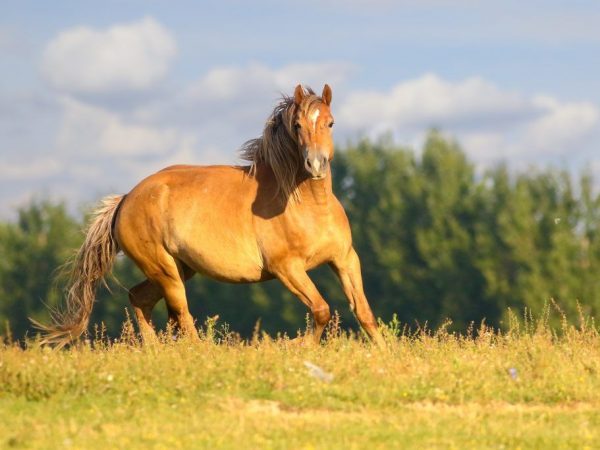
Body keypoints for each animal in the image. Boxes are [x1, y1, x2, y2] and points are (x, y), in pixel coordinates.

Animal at [37, 84, 384, 348]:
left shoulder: (344, 259)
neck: (308, 207)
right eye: (297, 125)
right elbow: (322, 310)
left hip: (177, 270)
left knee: (140, 299)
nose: (315, 164)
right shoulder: (287, 268)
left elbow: (364, 313)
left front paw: (383, 353)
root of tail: (124, 201)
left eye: (330, 123)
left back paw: (153, 350)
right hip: (165, 271)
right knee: (182, 316)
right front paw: (297, 346)